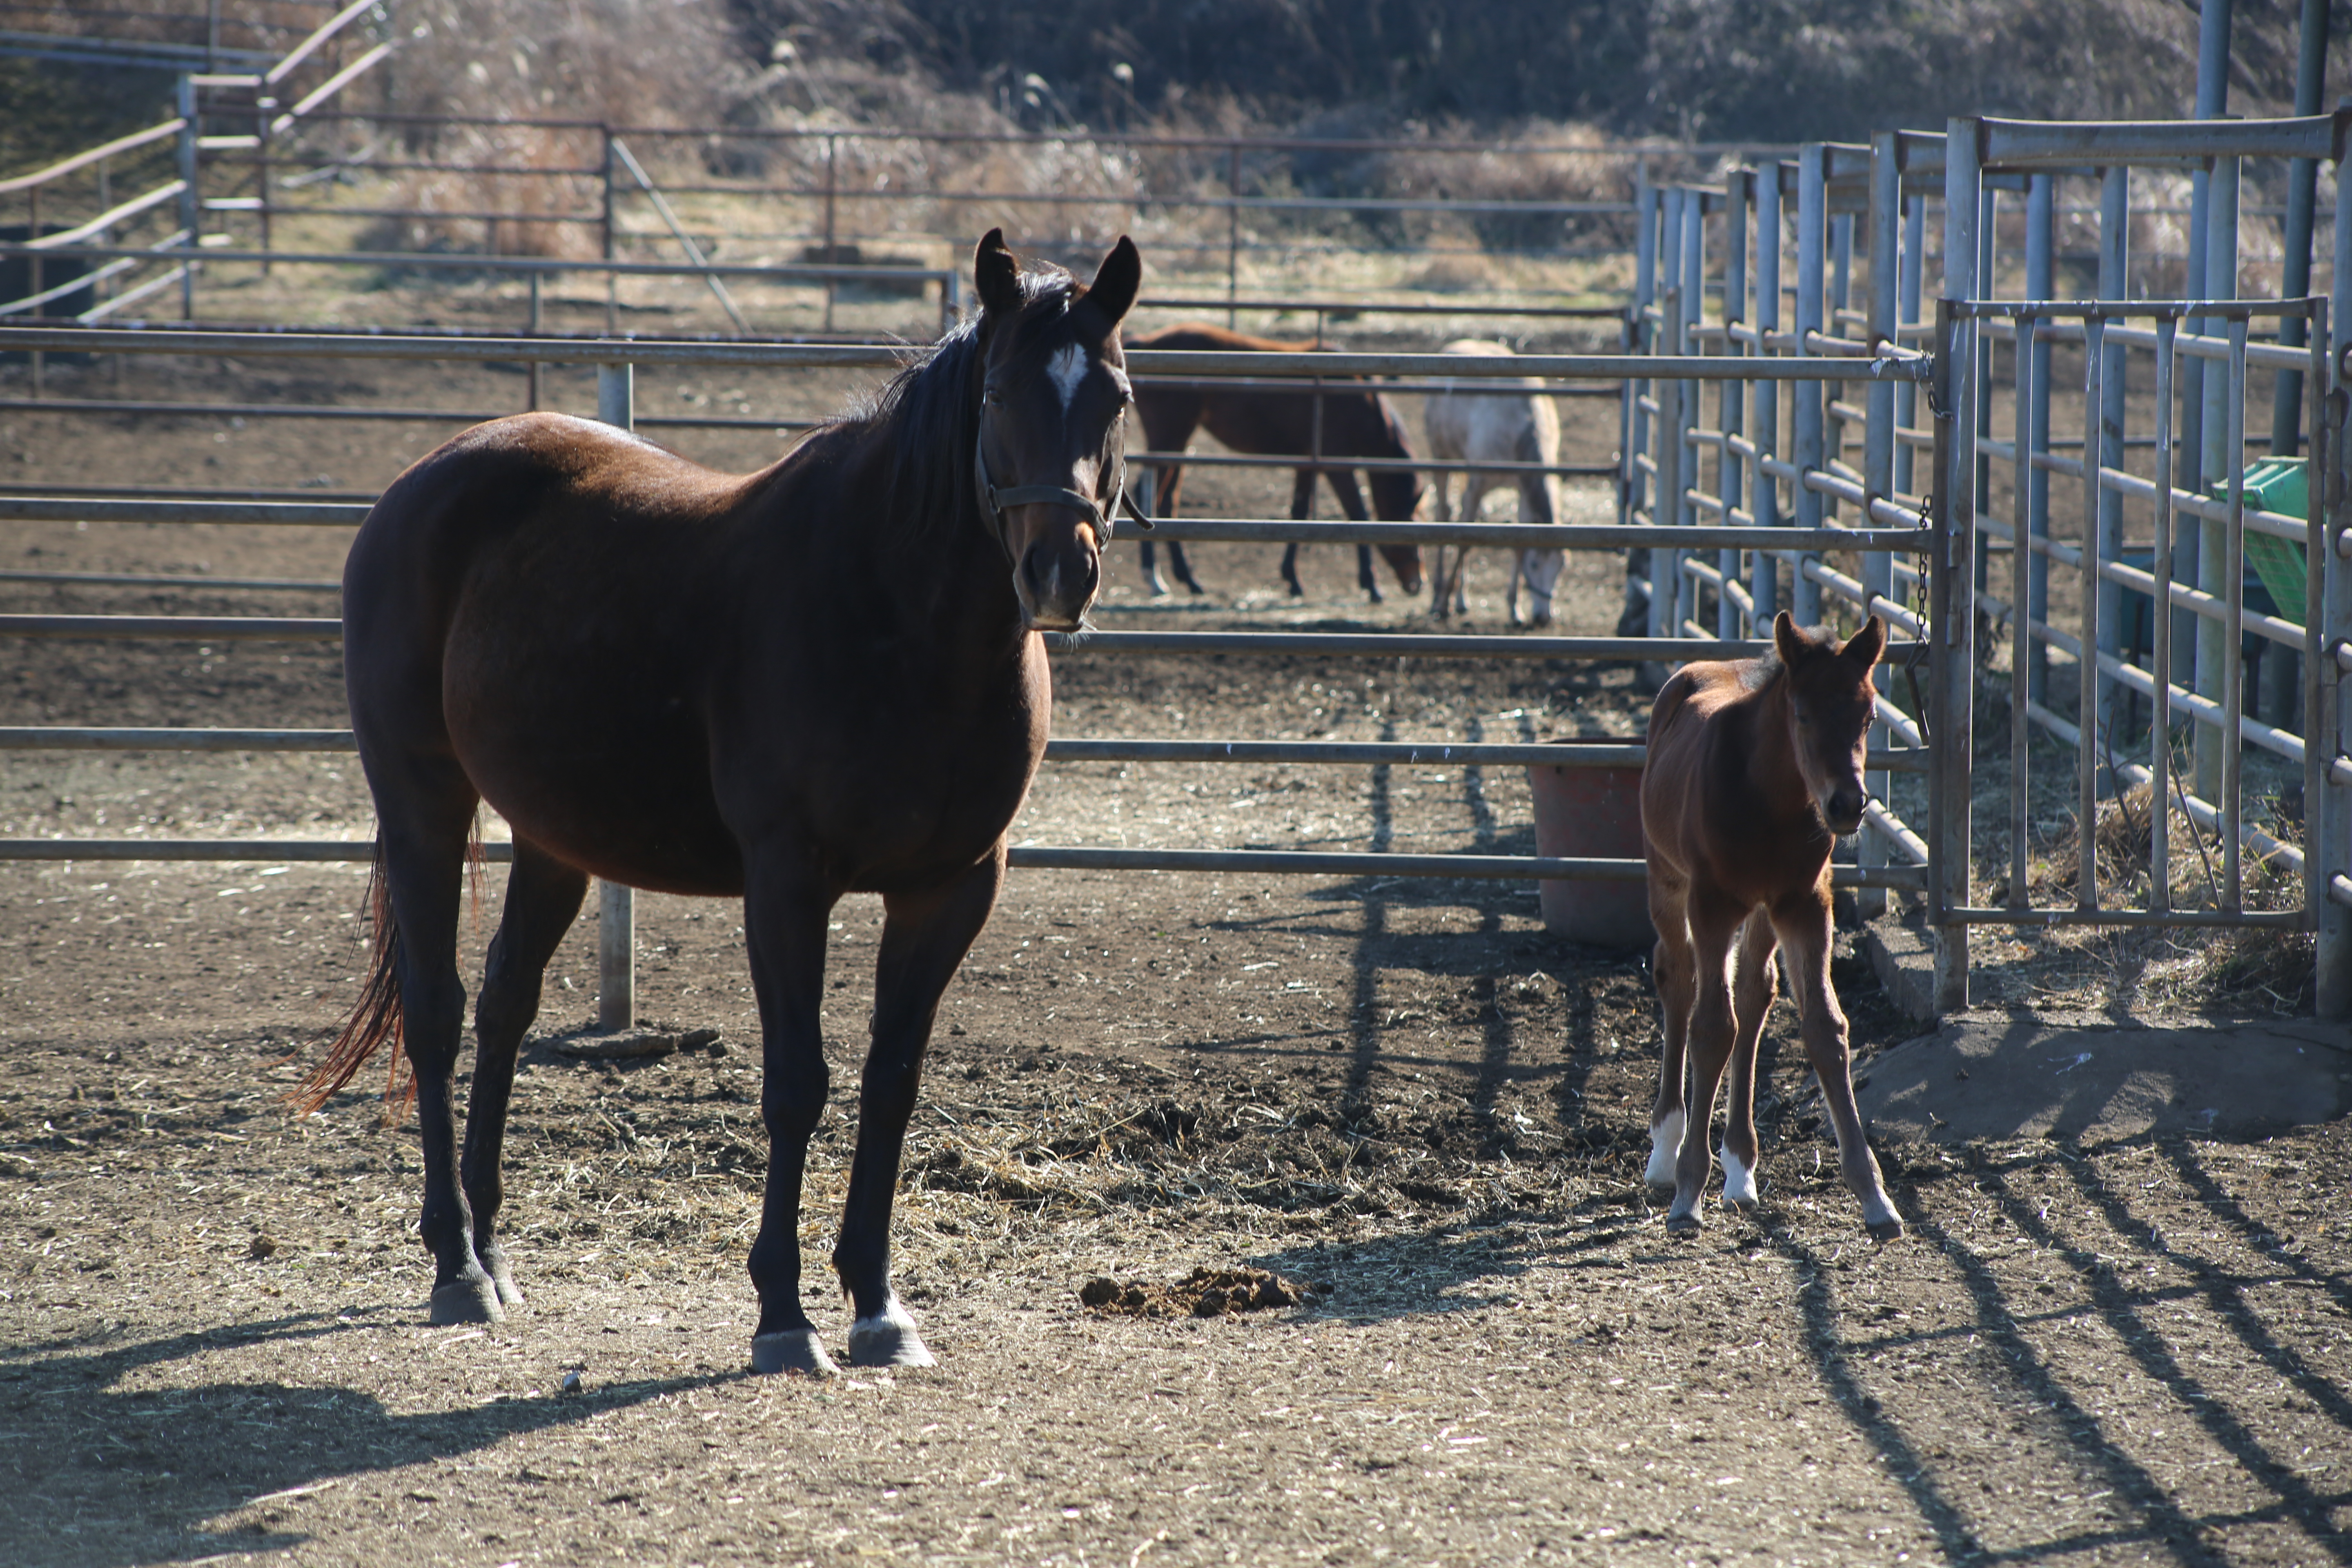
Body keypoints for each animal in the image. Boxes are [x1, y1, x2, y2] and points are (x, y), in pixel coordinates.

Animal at [303, 230, 1147, 1373]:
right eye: (1000, 391)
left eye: (1114, 394)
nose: (1059, 572)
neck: (899, 621)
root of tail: (421, 482)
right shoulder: (787, 882)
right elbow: (797, 1083)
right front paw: (783, 1313)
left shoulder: (951, 888)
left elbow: (891, 1079)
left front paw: (878, 1303)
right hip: (421, 802)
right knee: (435, 1014)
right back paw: (456, 1267)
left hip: (553, 837)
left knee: (506, 1004)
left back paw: (494, 1248)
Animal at [1124, 322, 1430, 606]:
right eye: (1411, 526)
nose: (1417, 583)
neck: (1357, 400)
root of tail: (1146, 342)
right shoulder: (1337, 465)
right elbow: (1358, 514)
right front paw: (1371, 584)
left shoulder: (1307, 465)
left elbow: (1299, 513)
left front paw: (1293, 579)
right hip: (1167, 440)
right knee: (1149, 494)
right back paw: (1155, 578)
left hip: (1179, 444)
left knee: (1167, 500)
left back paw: (1187, 579)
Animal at [1421, 341, 1571, 625]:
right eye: (1535, 565)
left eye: (1561, 566)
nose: (1543, 618)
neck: (1520, 427)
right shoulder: (1477, 486)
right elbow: (1464, 539)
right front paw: (1444, 602)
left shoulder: (1524, 491)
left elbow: (1518, 544)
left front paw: (1514, 608)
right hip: (1440, 457)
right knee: (1444, 512)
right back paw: (1438, 594)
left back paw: (1462, 600)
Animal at [1646, 611, 1900, 1241]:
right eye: (1802, 714)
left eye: (1868, 717)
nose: (1847, 806)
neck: (1768, 803)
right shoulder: (1712, 905)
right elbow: (1712, 1028)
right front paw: (1688, 1191)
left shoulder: (1803, 905)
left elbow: (1826, 1030)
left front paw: (1875, 1197)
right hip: (1667, 878)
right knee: (1677, 980)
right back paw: (1665, 1150)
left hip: (1762, 912)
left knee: (1754, 992)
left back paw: (1741, 1168)